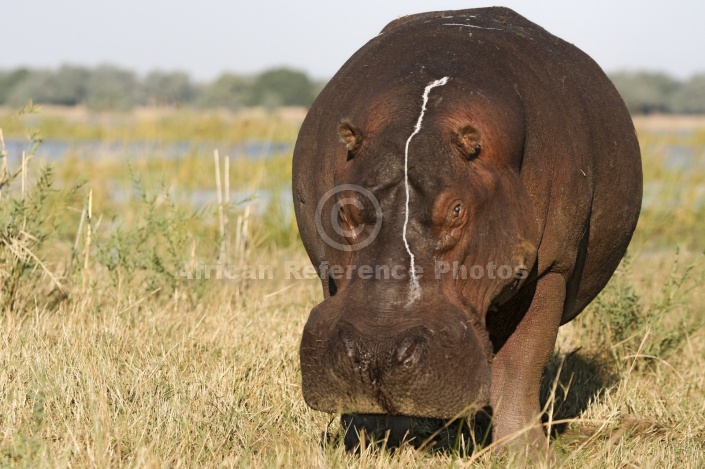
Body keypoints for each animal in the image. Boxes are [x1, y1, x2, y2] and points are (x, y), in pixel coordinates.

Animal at [288, 4, 640, 450]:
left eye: (456, 209)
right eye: (346, 208)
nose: (377, 352)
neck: (419, 116)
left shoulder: (552, 268)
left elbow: (521, 365)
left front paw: (525, 452)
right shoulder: (331, 275)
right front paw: (368, 443)